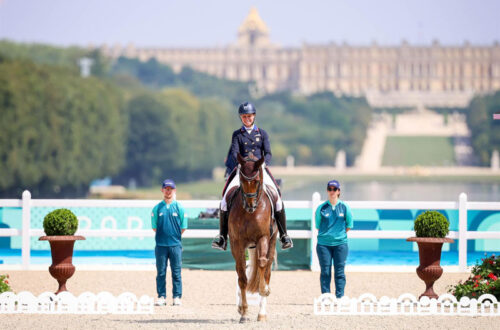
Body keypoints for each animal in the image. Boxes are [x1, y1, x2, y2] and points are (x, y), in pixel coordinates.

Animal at [229, 154, 280, 322]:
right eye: (241, 180)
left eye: (257, 181)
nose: (250, 206)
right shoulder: (237, 242)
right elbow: (242, 276)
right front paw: (244, 312)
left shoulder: (263, 237)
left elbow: (262, 263)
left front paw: (264, 289)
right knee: (241, 272)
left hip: (272, 240)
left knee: (267, 268)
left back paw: (262, 313)